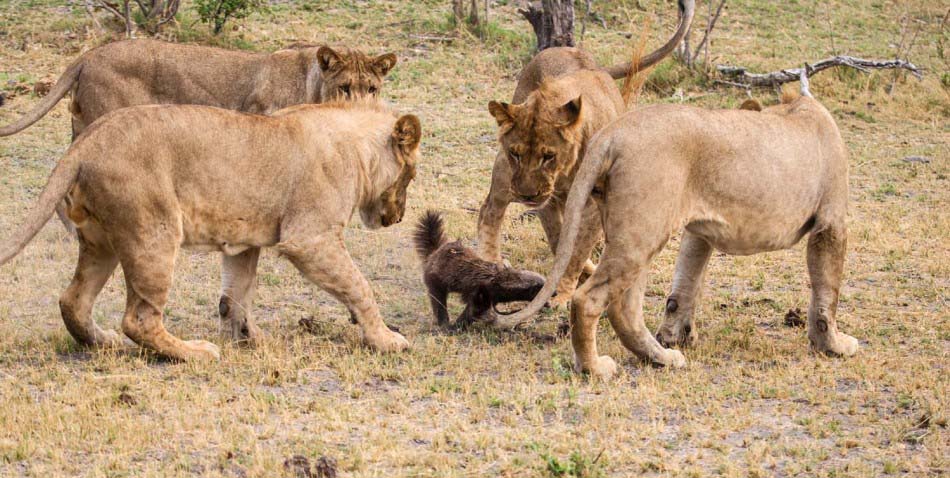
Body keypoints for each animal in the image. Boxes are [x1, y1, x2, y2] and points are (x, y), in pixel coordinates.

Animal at [0, 100, 420, 360]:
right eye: (411, 175)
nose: (398, 217)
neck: (358, 151)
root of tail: (87, 139)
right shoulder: (310, 238)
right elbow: (360, 287)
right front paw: (386, 339)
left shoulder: (246, 241)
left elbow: (237, 294)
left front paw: (249, 338)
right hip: (155, 231)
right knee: (139, 319)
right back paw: (194, 352)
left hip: (99, 240)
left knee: (73, 299)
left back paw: (103, 342)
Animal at [478, 0, 695, 306]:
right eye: (516, 154)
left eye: (548, 156)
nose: (527, 195)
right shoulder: (544, 197)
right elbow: (560, 239)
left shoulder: (590, 204)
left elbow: (576, 250)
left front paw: (563, 294)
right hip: (503, 173)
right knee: (490, 210)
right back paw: (490, 261)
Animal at [500, 74, 859, 378]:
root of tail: (613, 132)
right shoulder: (831, 222)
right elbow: (827, 293)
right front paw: (834, 345)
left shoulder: (699, 230)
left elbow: (684, 285)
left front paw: (675, 336)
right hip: (642, 232)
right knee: (588, 300)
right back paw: (595, 368)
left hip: (636, 231)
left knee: (624, 308)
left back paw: (660, 357)